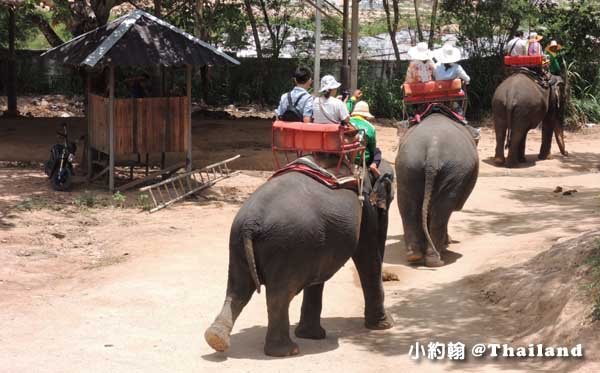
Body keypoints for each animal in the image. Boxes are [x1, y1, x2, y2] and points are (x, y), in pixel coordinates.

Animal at [204, 161, 396, 358]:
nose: (390, 276)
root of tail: (251, 223)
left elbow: (319, 276)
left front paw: (311, 335)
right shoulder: (365, 211)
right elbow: (367, 255)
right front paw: (385, 325)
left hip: (241, 243)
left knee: (238, 289)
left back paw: (216, 338)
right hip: (285, 246)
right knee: (278, 295)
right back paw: (287, 351)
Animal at [396, 114, 480, 268]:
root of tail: (433, 150)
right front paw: (448, 242)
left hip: (407, 166)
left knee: (407, 206)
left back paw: (414, 256)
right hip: (455, 171)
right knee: (442, 211)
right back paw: (436, 260)